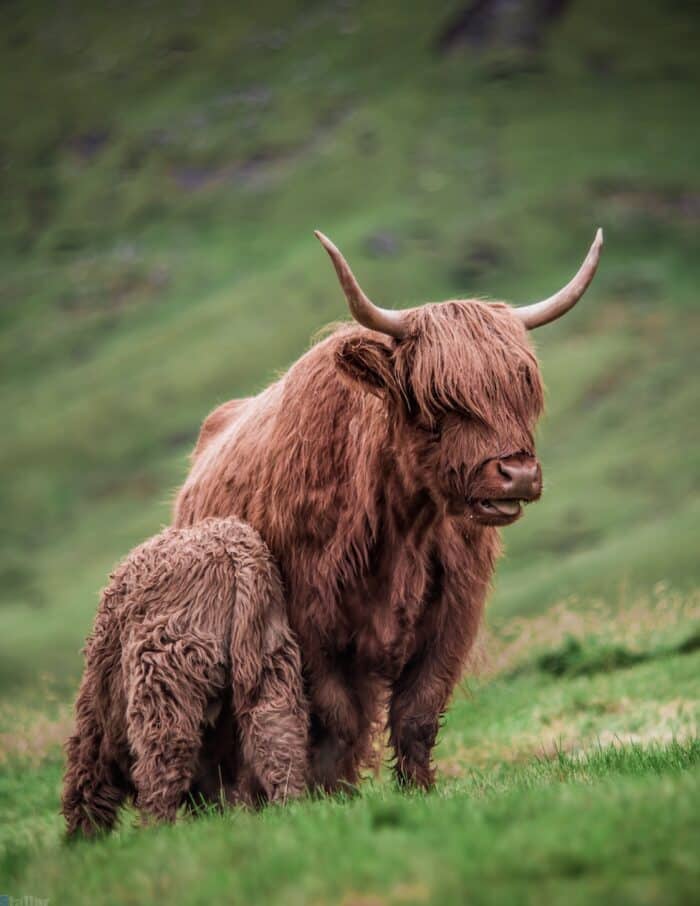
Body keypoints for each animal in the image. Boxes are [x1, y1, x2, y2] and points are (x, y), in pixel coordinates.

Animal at [61, 516, 308, 832]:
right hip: (269, 657)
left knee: (166, 755)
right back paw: (292, 808)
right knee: (279, 733)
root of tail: (235, 552)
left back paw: (154, 829)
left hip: (166, 669)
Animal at [174, 228, 600, 792]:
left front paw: (419, 791)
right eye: (439, 398)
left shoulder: (453, 615)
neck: (402, 526)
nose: (519, 474)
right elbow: (336, 721)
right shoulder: (308, 627)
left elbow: (417, 714)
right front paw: (335, 796)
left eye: (523, 390)